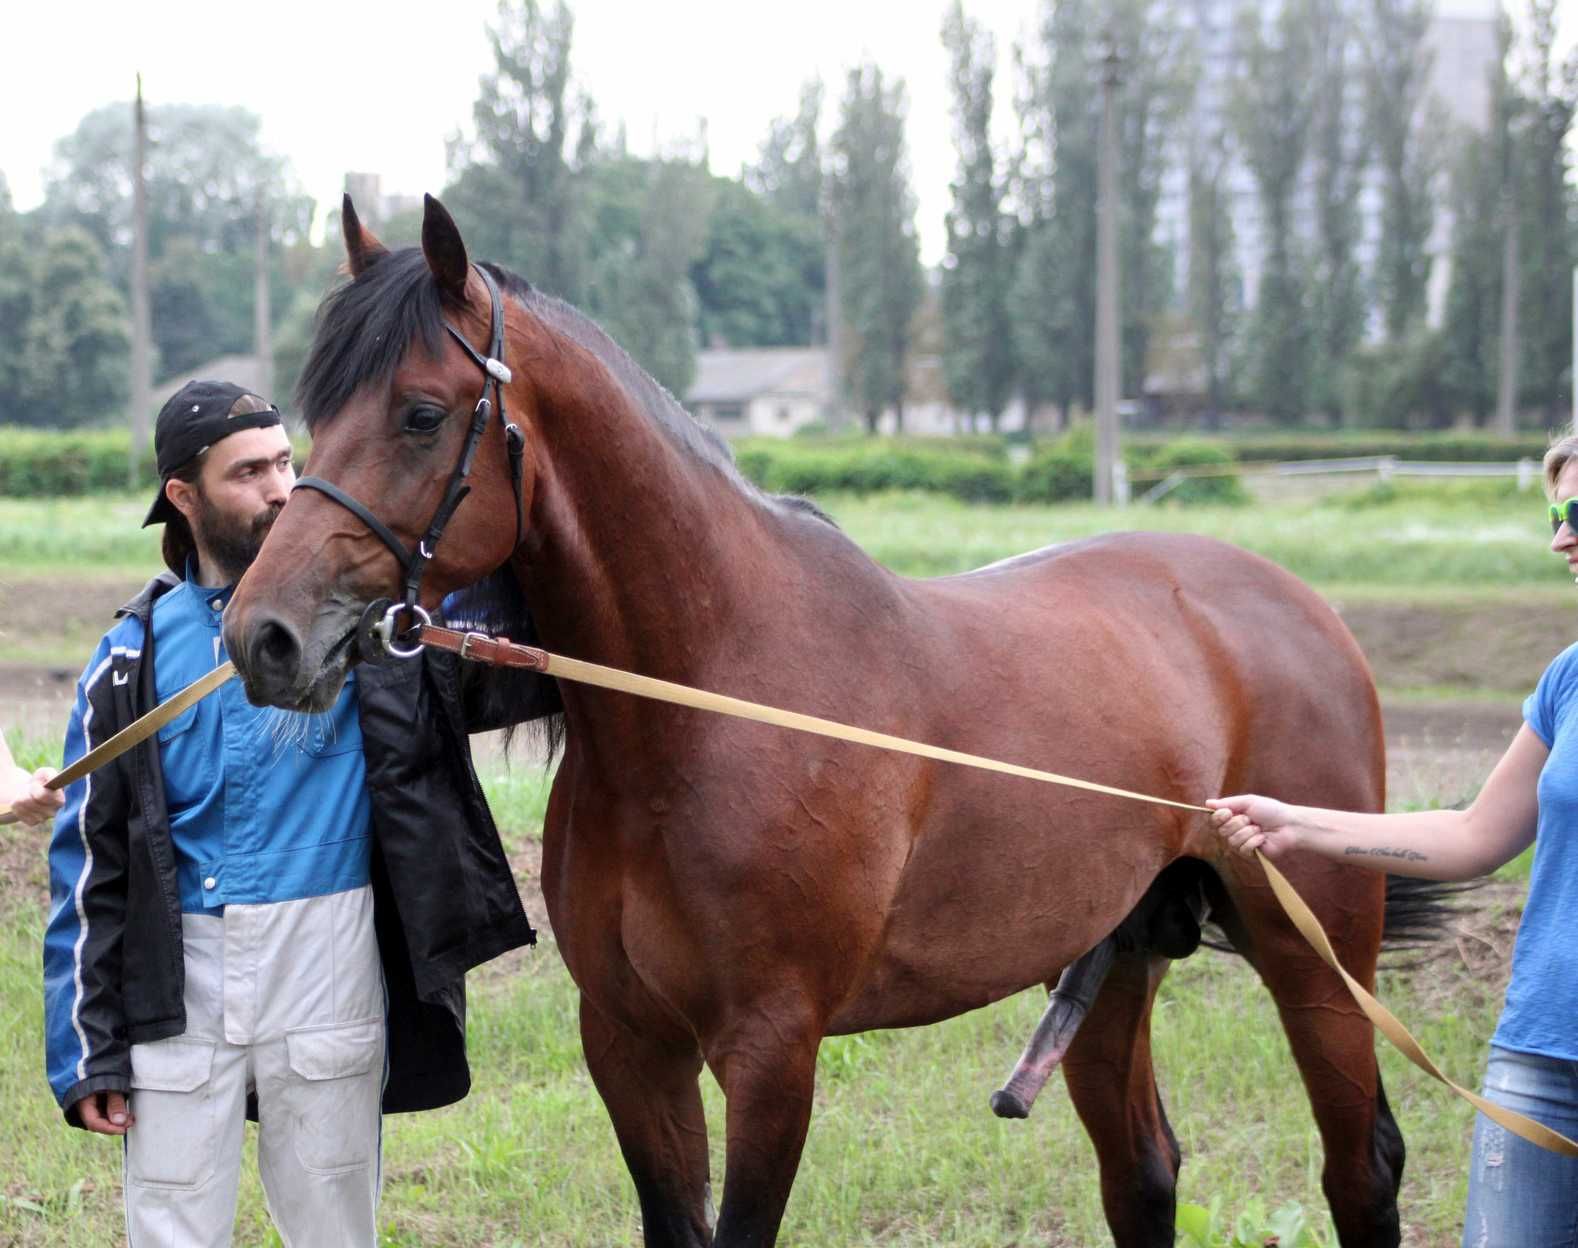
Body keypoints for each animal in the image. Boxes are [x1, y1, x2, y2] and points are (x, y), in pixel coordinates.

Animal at [225, 190, 1407, 1243]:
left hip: (1319, 958)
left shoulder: (772, 1052)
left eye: (421, 413)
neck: (713, 699)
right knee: (1145, 1174)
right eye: (313, 415)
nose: (260, 636)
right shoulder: (630, 1042)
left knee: (1361, 1166)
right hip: (1113, 958)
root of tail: (1300, 609)